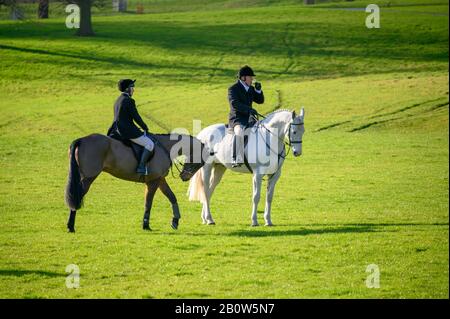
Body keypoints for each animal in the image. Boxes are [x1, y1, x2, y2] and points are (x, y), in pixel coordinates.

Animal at [64, 132, 207, 232]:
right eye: (199, 163)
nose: (184, 177)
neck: (164, 147)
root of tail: (82, 140)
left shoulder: (160, 179)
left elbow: (172, 197)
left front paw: (175, 221)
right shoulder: (153, 182)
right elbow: (148, 203)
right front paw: (146, 225)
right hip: (88, 177)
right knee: (77, 195)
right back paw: (71, 226)